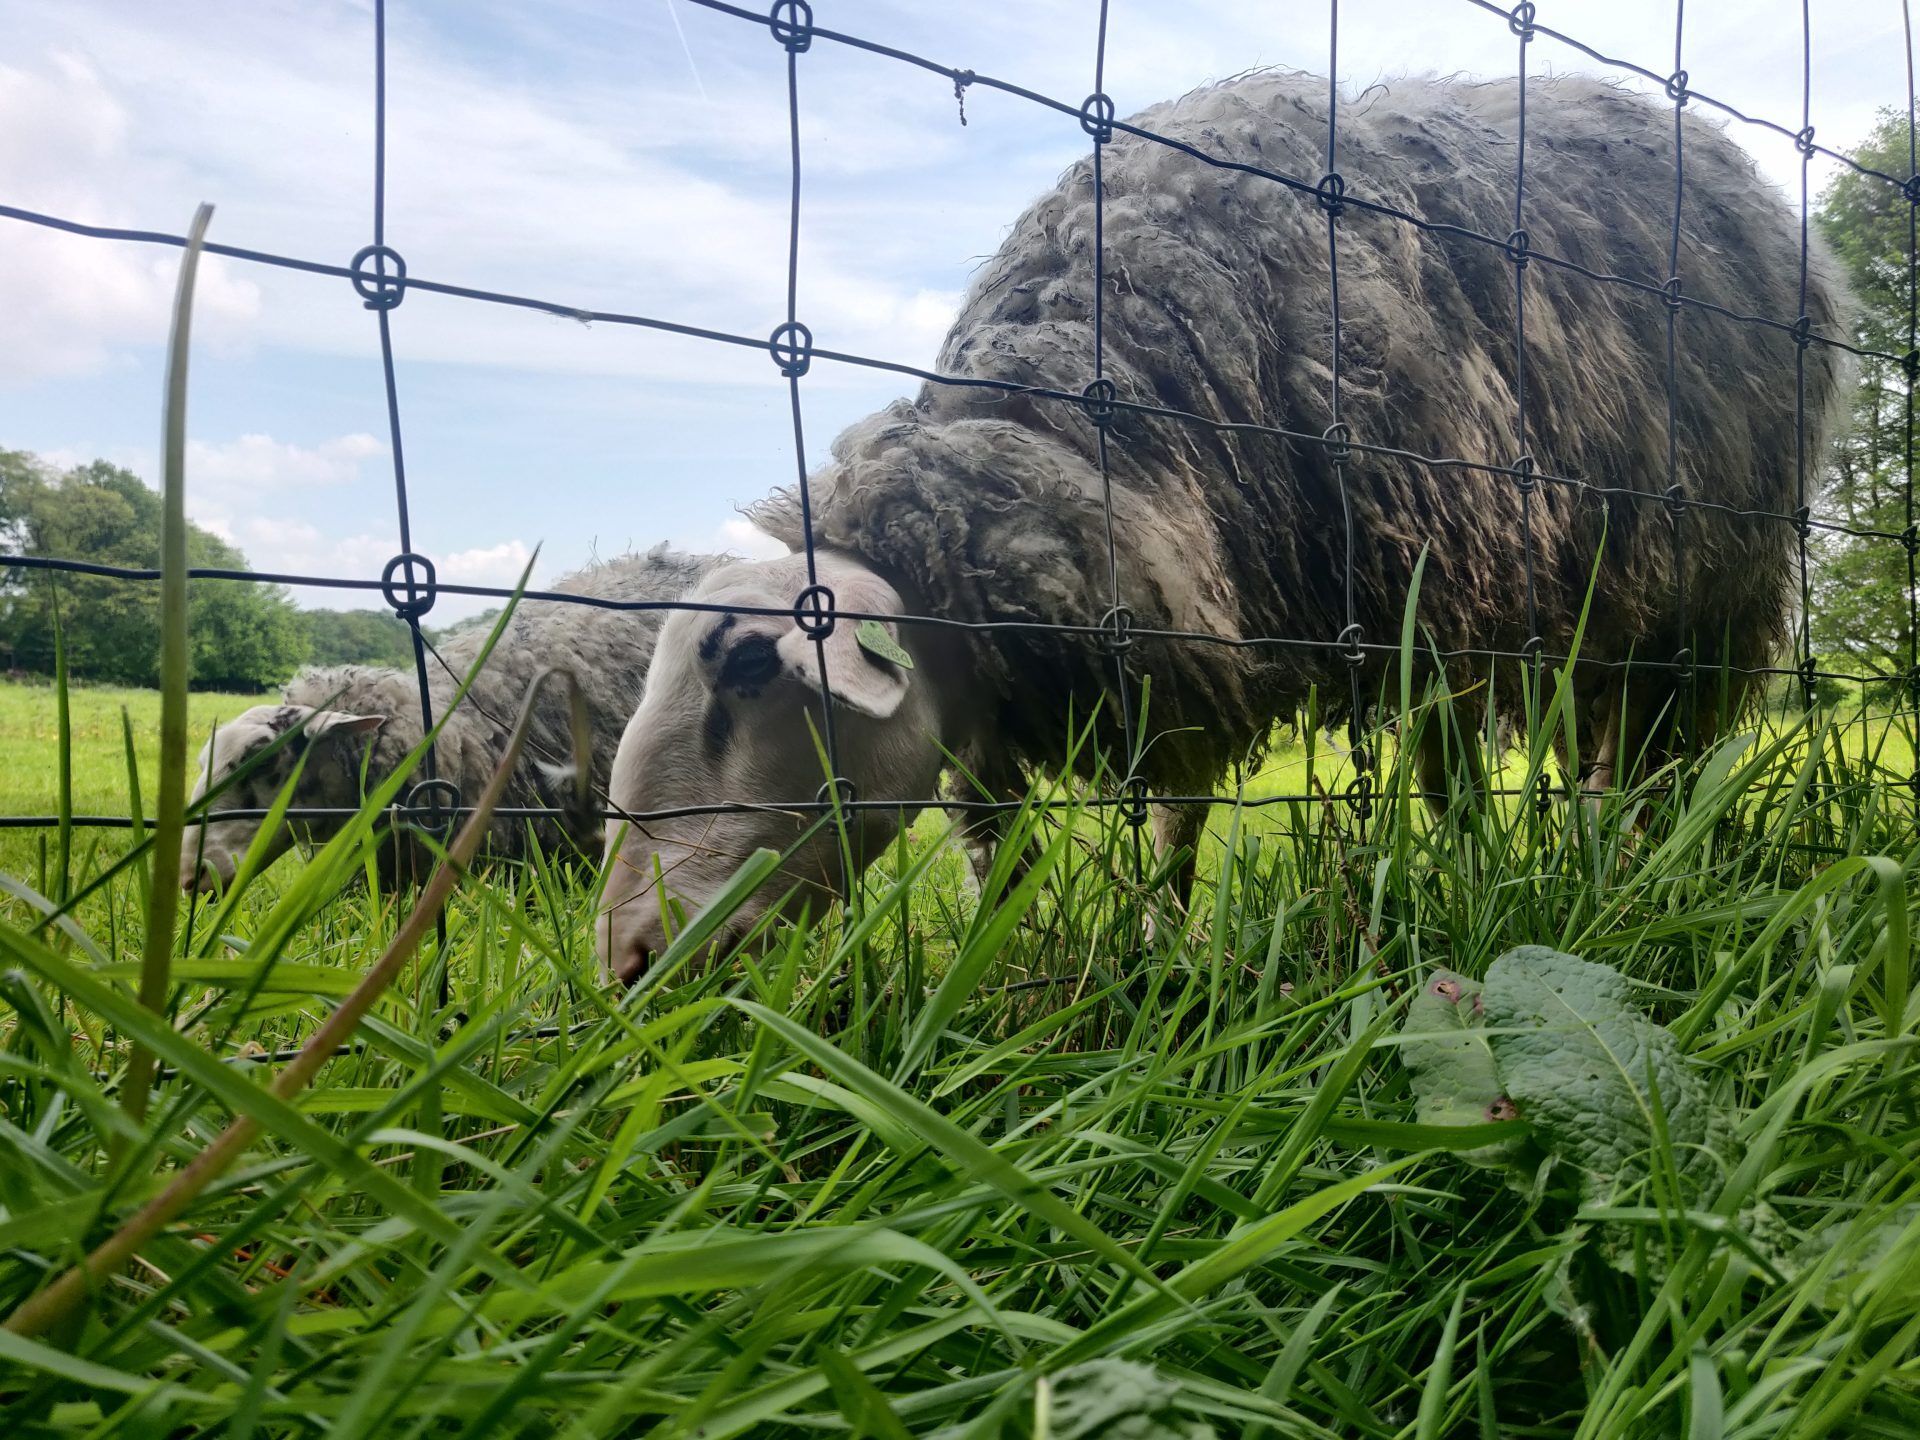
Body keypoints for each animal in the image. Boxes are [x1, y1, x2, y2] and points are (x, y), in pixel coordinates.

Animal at [595, 73, 1843, 990]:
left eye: (748, 672)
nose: (625, 956)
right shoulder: (1161, 622)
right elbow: (1144, 826)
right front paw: (1128, 961)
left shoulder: (1433, 587)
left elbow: (1442, 784)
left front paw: (1463, 894)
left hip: (1703, 585)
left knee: (1646, 749)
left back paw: (1625, 869)